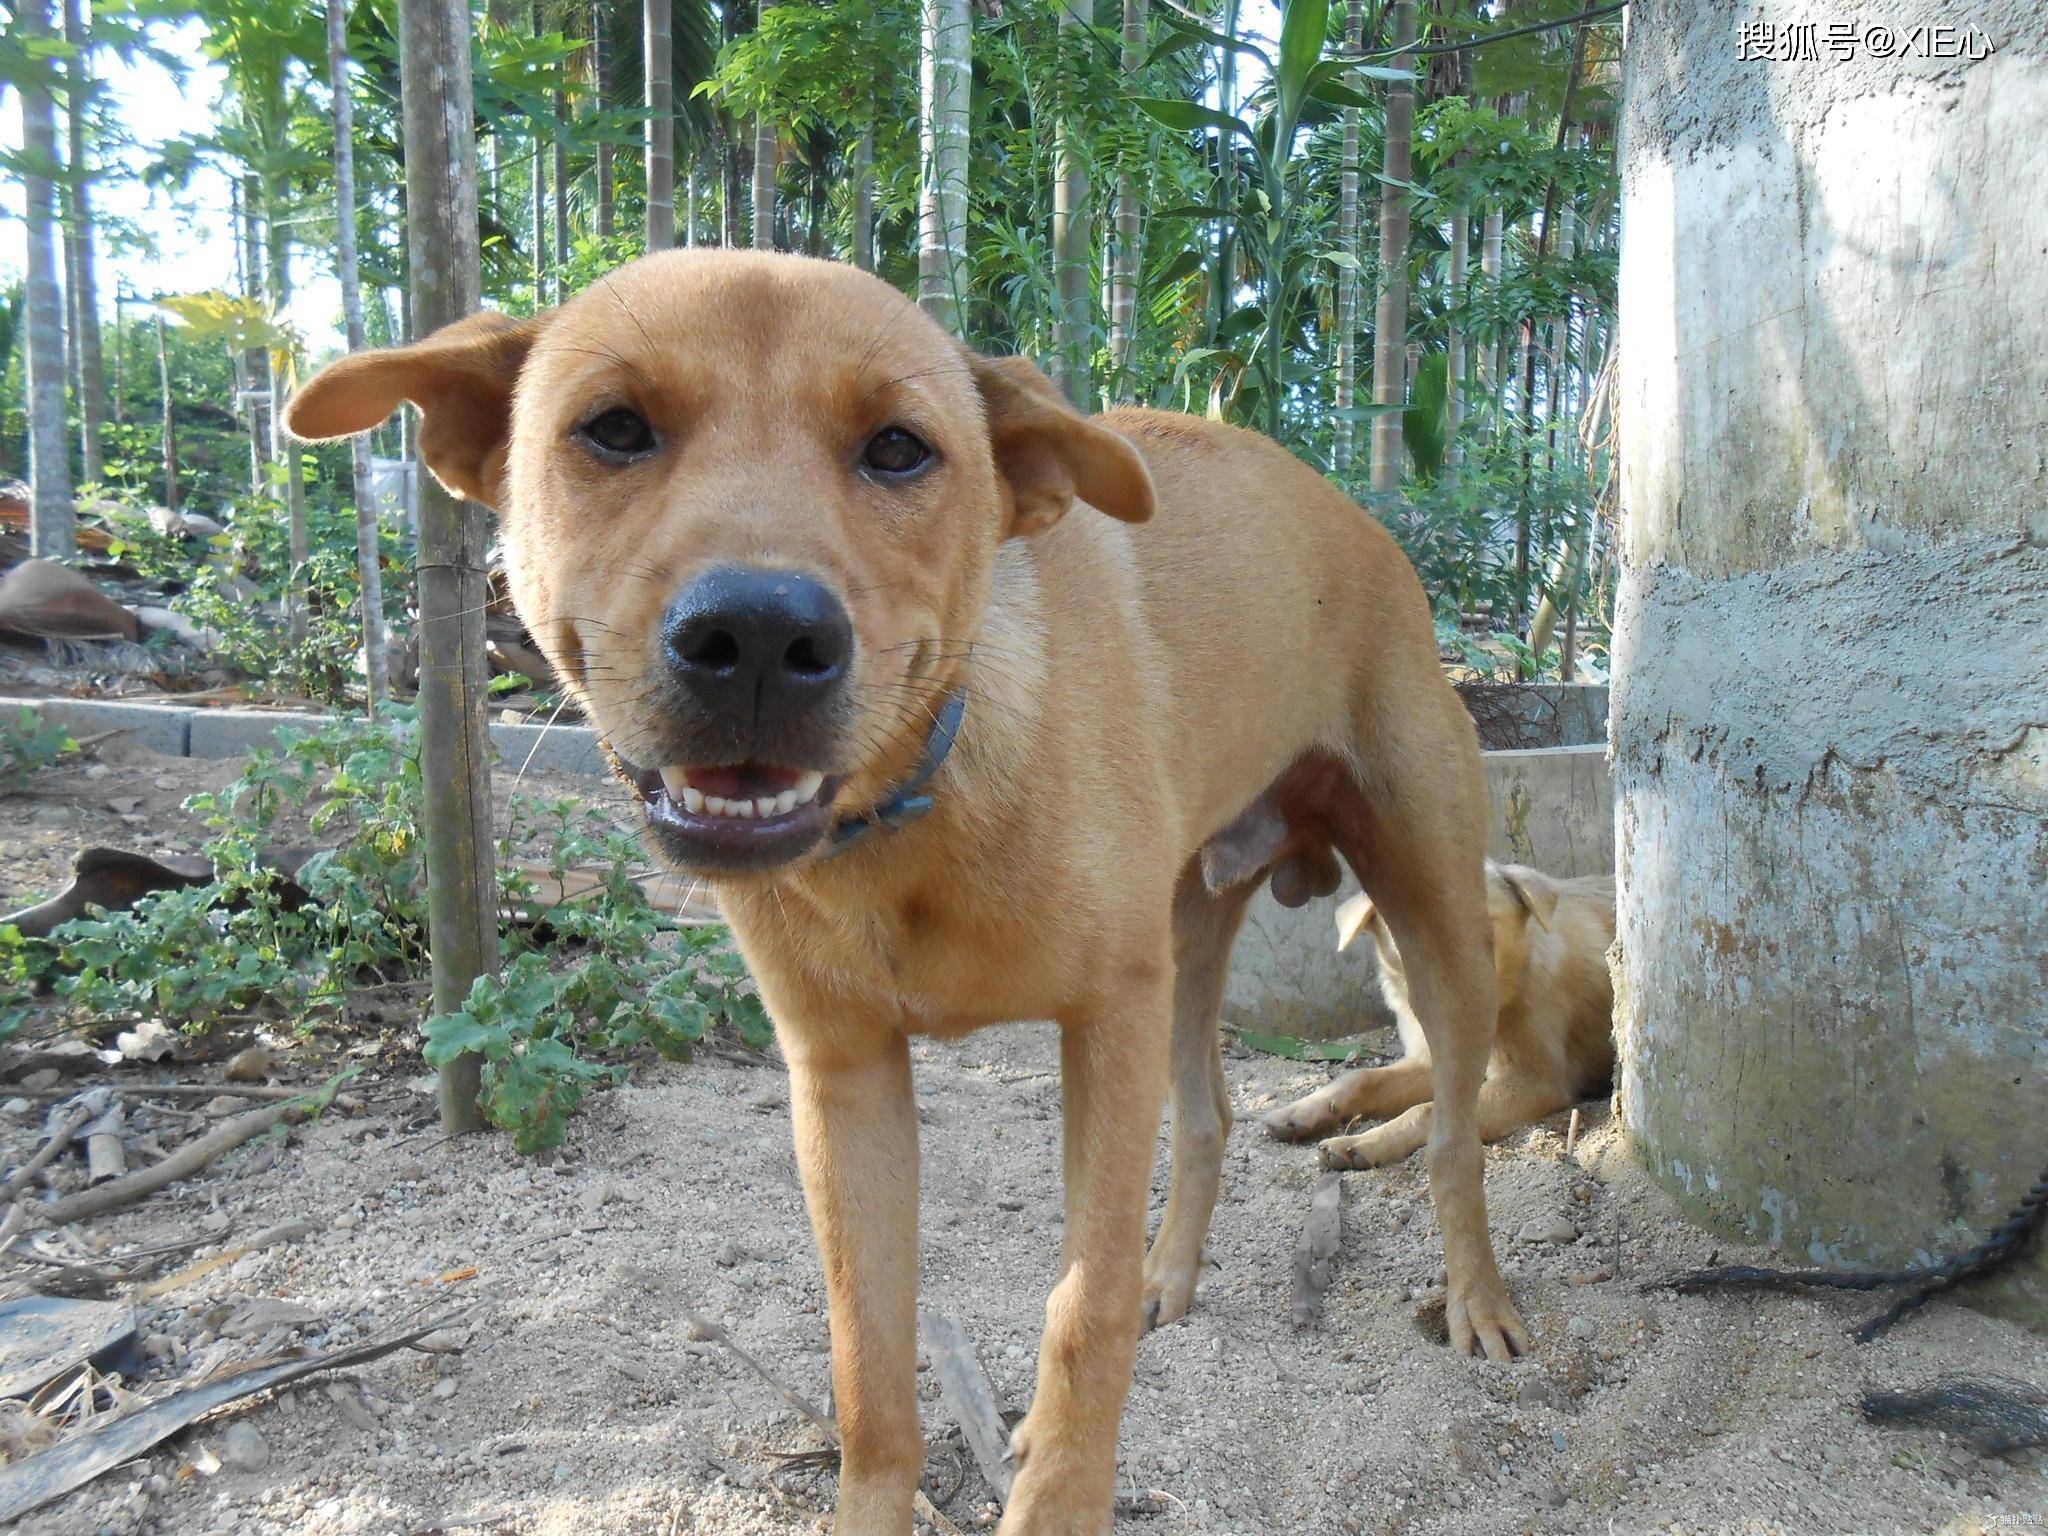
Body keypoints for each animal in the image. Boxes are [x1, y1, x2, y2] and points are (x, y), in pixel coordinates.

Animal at [292, 252, 1540, 1536]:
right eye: (615, 428)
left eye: (897, 448)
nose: (755, 636)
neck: (908, 815)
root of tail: (1360, 516)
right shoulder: (844, 1079)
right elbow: (868, 1361)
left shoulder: (1106, 1024)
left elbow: (1078, 1312)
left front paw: (1057, 1491)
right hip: (1190, 937)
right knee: (1208, 1117)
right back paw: (1170, 1277)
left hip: (1430, 916)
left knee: (1452, 1136)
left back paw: (1476, 1301)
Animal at [1261, 868, 1613, 1163]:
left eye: (1486, 924)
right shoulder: (1433, 1061)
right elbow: (1361, 1077)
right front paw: (1301, 1110)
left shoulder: (1535, 1082)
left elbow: (1425, 1111)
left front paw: (1361, 1143)